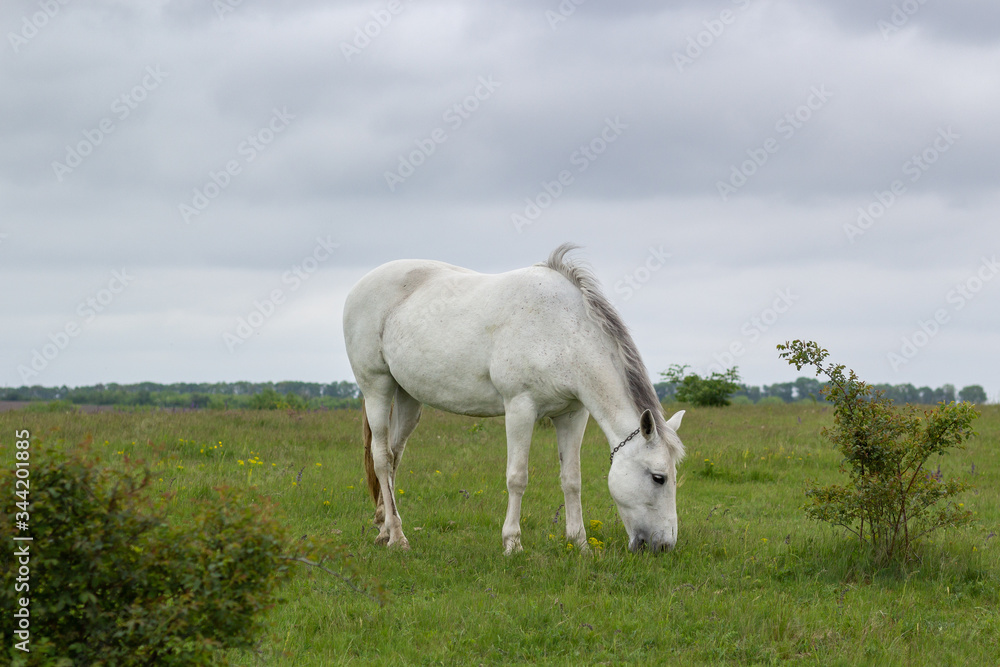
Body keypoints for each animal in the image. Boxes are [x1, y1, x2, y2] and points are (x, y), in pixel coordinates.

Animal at [343, 243, 685, 554]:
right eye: (659, 478)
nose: (664, 546)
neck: (563, 332)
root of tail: (360, 286)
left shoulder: (573, 415)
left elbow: (571, 478)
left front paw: (579, 543)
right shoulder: (521, 408)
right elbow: (517, 477)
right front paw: (512, 543)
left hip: (408, 398)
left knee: (394, 456)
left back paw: (384, 529)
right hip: (376, 387)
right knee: (382, 458)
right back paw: (398, 537)